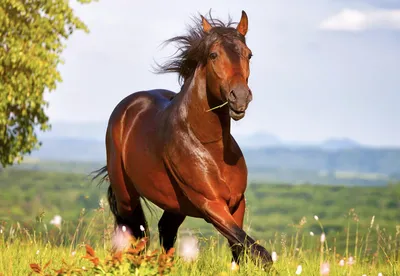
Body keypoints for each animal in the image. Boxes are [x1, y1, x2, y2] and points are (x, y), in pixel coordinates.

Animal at [93, 9, 276, 270]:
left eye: (248, 54)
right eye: (213, 55)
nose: (240, 98)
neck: (210, 145)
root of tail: (126, 108)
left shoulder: (236, 203)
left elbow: (240, 247)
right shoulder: (211, 204)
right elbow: (257, 250)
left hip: (175, 205)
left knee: (164, 230)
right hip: (126, 195)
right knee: (132, 230)